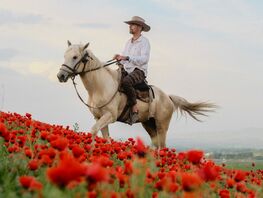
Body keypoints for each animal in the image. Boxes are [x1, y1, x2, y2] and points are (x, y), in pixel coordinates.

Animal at [57, 41, 217, 148]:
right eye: (64, 55)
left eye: (75, 57)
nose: (60, 76)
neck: (100, 87)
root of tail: (168, 98)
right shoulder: (98, 117)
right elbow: (105, 137)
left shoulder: (110, 116)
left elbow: (93, 131)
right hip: (148, 124)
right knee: (156, 144)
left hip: (162, 125)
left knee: (162, 146)